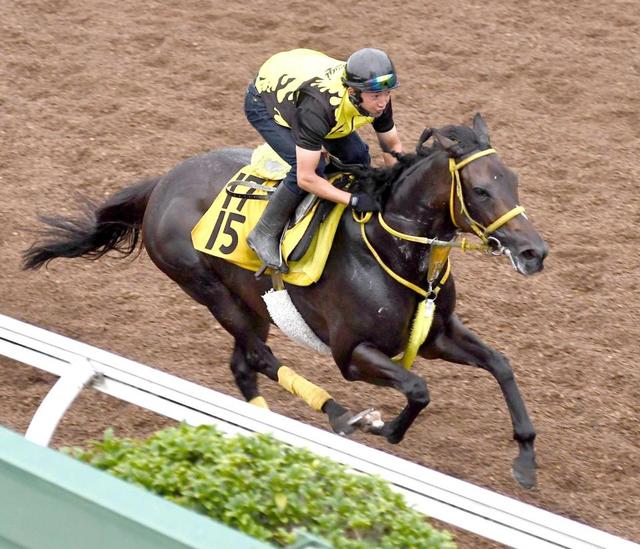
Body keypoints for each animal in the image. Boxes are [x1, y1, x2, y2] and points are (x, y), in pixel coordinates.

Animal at [22, 113, 548, 486]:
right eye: (479, 189)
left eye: (513, 180)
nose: (534, 252)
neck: (390, 248)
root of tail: (162, 184)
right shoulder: (352, 355)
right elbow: (418, 389)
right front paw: (383, 428)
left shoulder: (436, 334)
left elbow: (500, 364)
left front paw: (525, 459)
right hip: (210, 291)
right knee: (258, 356)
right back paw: (339, 413)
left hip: (252, 303)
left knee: (243, 364)